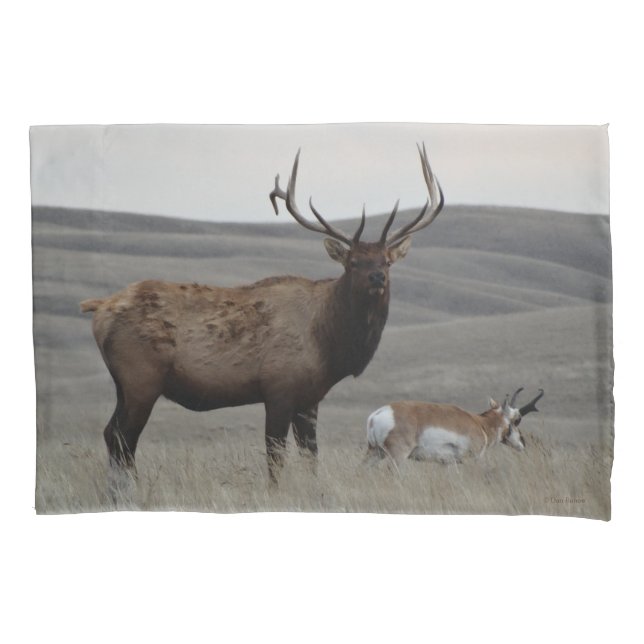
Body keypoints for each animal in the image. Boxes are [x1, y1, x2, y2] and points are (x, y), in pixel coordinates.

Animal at [80, 144, 444, 496]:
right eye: (353, 262)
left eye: (386, 261)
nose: (377, 278)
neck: (328, 343)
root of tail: (100, 308)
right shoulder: (278, 387)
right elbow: (275, 455)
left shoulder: (309, 398)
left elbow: (311, 456)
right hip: (141, 378)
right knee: (123, 437)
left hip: (123, 384)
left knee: (111, 434)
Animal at [365, 388, 544, 468]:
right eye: (517, 420)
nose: (523, 443)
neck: (481, 423)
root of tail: (377, 414)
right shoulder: (473, 459)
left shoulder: (449, 464)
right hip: (398, 456)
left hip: (374, 453)